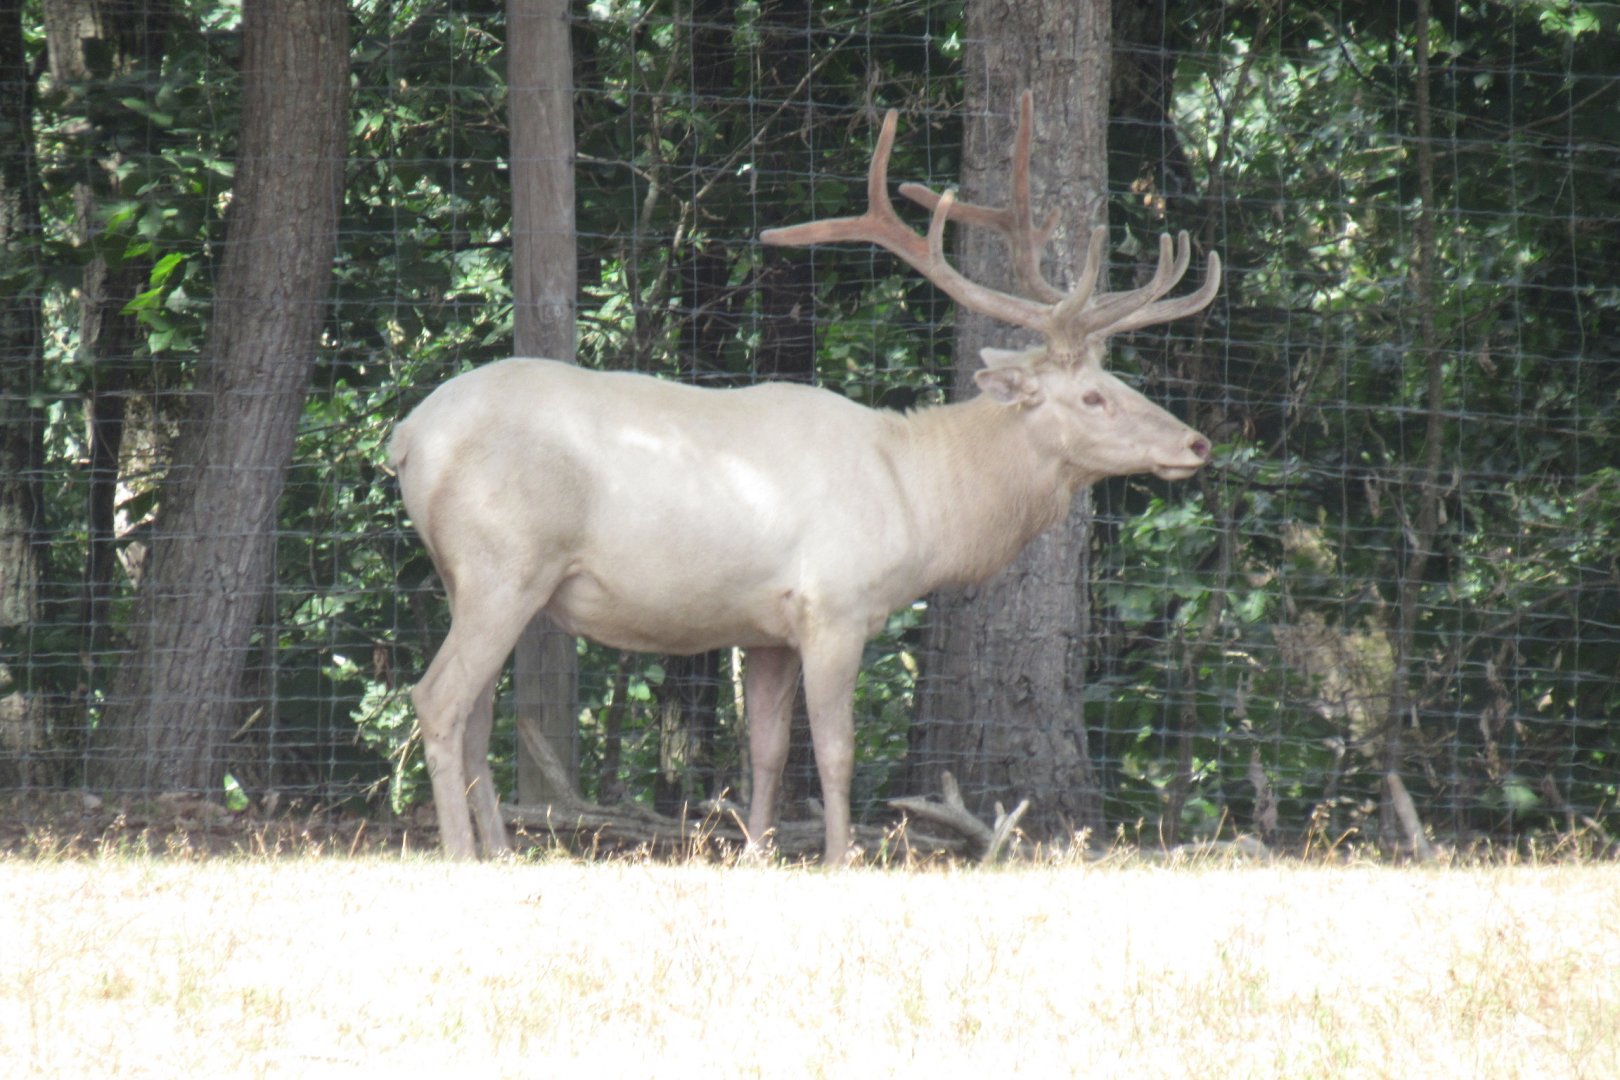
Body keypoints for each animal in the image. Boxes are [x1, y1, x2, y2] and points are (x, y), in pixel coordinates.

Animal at [389, 92, 1221, 864]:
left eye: (1116, 380)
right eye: (1093, 397)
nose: (1196, 442)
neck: (917, 499)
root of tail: (406, 438)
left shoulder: (767, 629)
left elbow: (766, 749)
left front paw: (758, 853)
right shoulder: (835, 605)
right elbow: (836, 750)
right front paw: (837, 857)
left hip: (480, 579)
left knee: (477, 713)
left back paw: (500, 849)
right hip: (502, 561)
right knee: (438, 697)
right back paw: (460, 851)